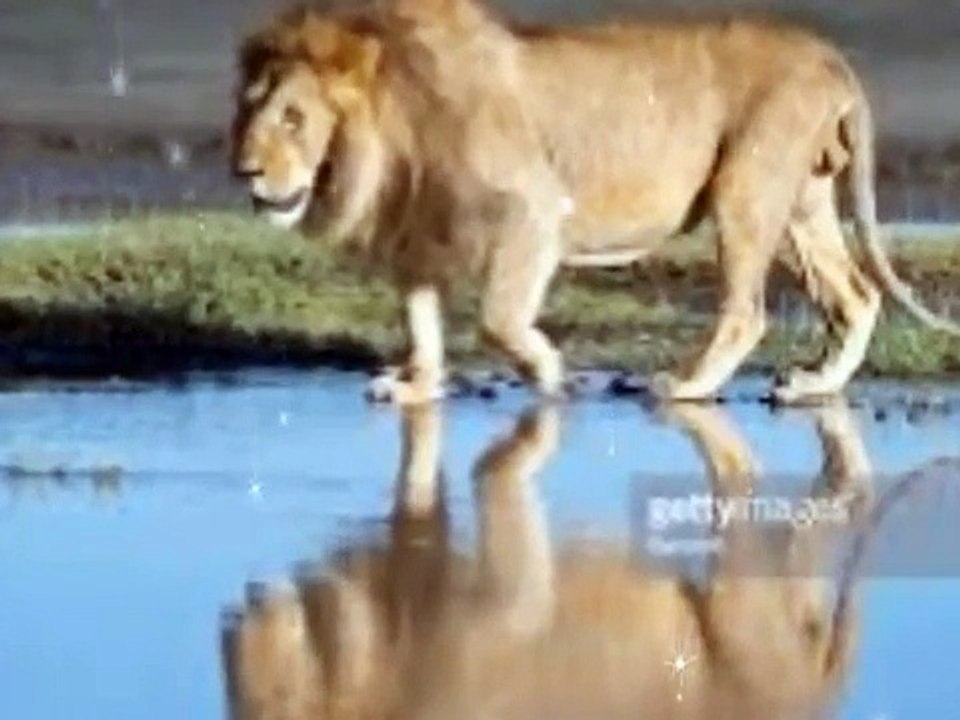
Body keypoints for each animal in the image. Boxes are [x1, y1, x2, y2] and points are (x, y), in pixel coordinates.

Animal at [230, 0, 960, 405]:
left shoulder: (531, 208)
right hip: (800, 204)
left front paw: (552, 373)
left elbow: (498, 318)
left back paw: (683, 385)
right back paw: (814, 385)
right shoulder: (418, 231)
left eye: (294, 118)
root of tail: (829, 55)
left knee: (748, 311)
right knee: (856, 295)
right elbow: (421, 320)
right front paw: (416, 385)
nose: (245, 170)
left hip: (745, 189)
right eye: (249, 112)